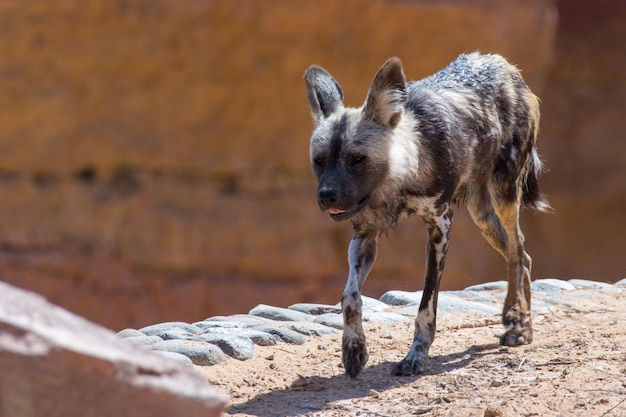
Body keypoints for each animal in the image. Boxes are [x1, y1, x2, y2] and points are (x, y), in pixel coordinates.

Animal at [304, 52, 548, 376]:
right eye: (319, 161)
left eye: (357, 159)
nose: (327, 196)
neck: (404, 174)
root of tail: (503, 64)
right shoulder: (365, 236)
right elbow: (349, 297)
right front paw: (354, 350)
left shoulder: (439, 229)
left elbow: (426, 306)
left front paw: (415, 357)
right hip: (482, 215)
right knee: (521, 254)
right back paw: (520, 322)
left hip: (504, 196)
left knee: (517, 250)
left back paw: (517, 321)